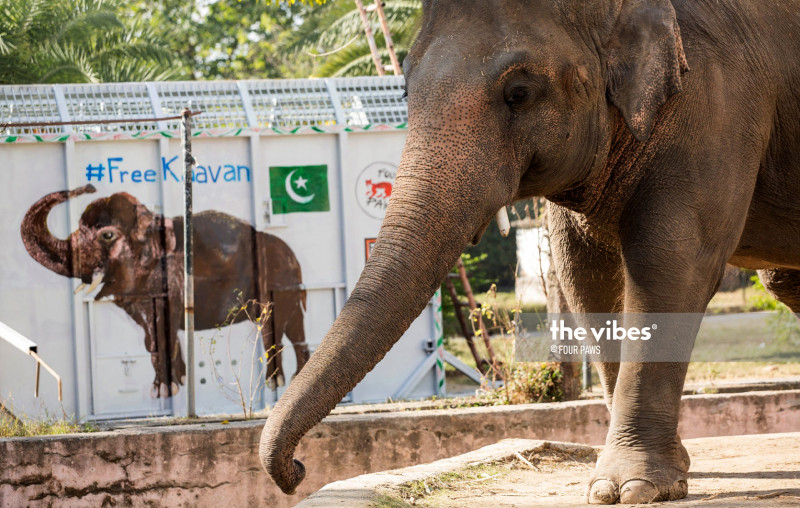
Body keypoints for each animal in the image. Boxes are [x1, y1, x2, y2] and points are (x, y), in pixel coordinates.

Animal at [21, 184, 310, 397]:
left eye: (107, 235)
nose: (89, 186)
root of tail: (293, 257)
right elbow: (153, 335)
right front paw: (176, 384)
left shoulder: (169, 283)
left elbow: (161, 330)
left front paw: (163, 391)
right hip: (289, 286)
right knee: (295, 327)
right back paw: (297, 378)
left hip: (277, 283)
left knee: (271, 327)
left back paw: (275, 383)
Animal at [260, 0, 800, 503]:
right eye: (406, 91)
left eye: (518, 93)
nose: (296, 471)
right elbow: (582, 271)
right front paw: (627, 479)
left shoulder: (720, 103)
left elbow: (674, 262)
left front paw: (632, 487)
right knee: (784, 282)